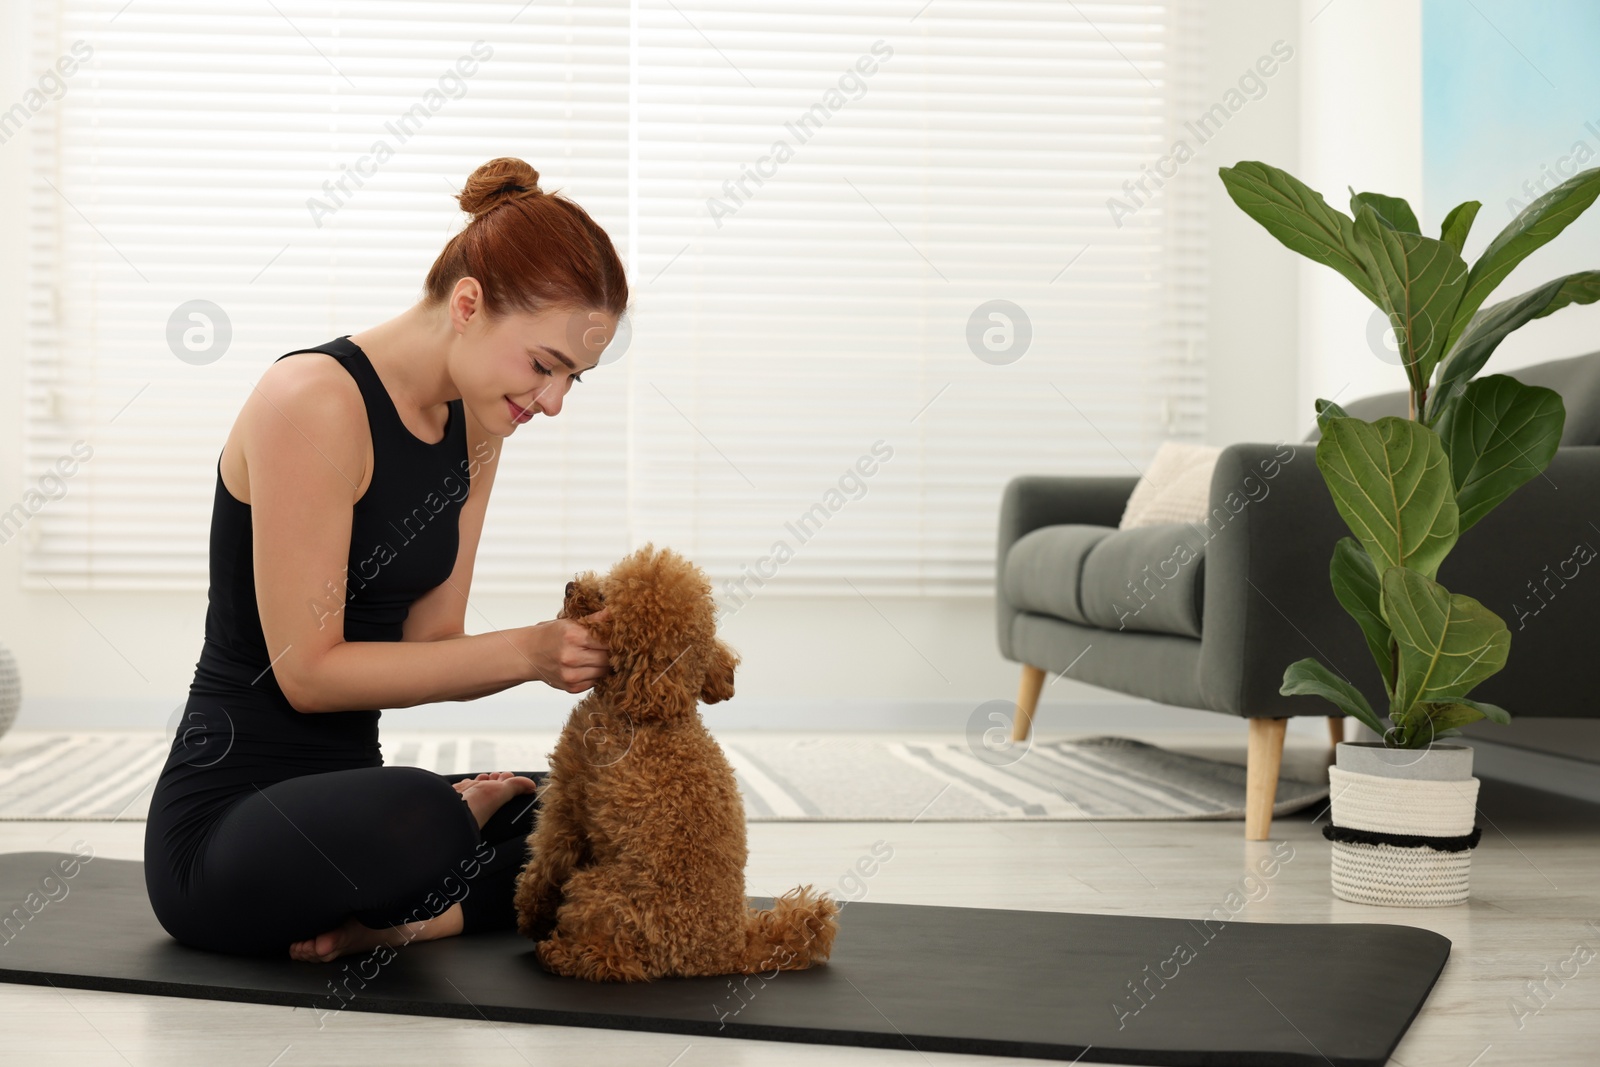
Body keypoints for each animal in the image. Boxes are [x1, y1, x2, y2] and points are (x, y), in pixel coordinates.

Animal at [508, 547, 838, 979]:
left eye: (606, 597)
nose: (569, 585)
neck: (651, 710)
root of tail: (729, 954)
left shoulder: (567, 795)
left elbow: (545, 857)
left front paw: (530, 913)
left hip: (599, 893)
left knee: (619, 961)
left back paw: (563, 954)